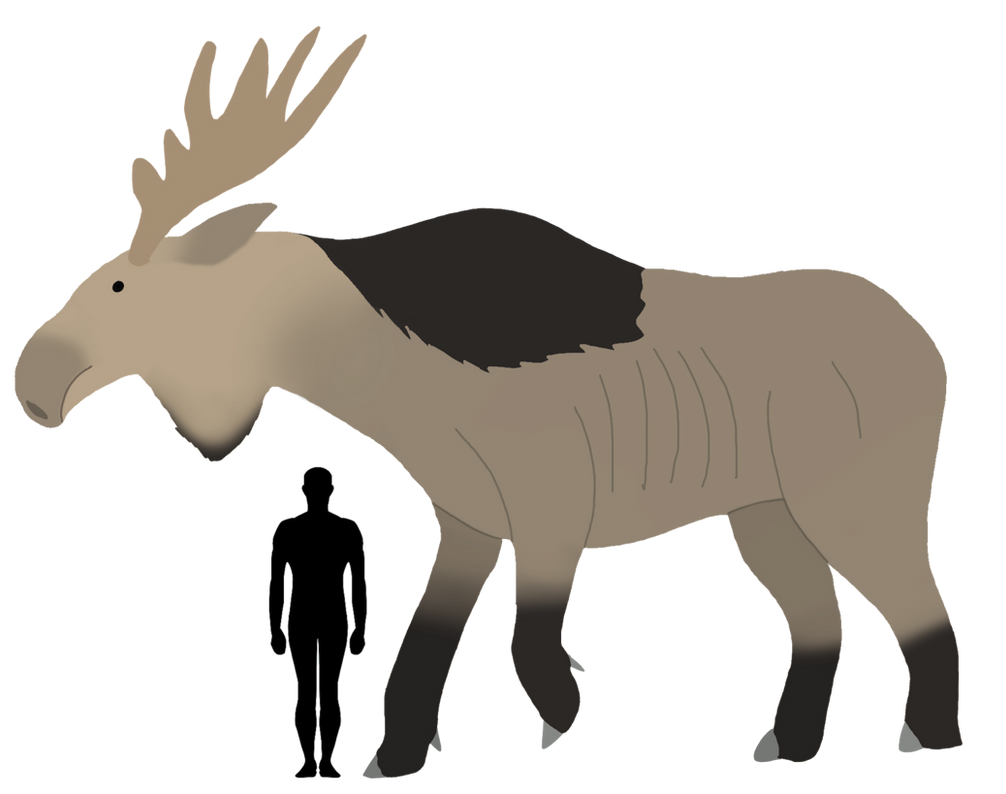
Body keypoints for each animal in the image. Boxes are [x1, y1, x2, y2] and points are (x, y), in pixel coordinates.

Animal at [10, 24, 961, 780]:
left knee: (922, 610)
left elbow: (525, 636)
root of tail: (930, 344)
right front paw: (393, 759)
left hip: (856, 496)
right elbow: (423, 646)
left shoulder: (552, 506)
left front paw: (561, 715)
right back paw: (790, 746)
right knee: (822, 623)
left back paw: (931, 738)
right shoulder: (468, 517)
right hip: (764, 511)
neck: (366, 356)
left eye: (120, 284)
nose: (31, 384)